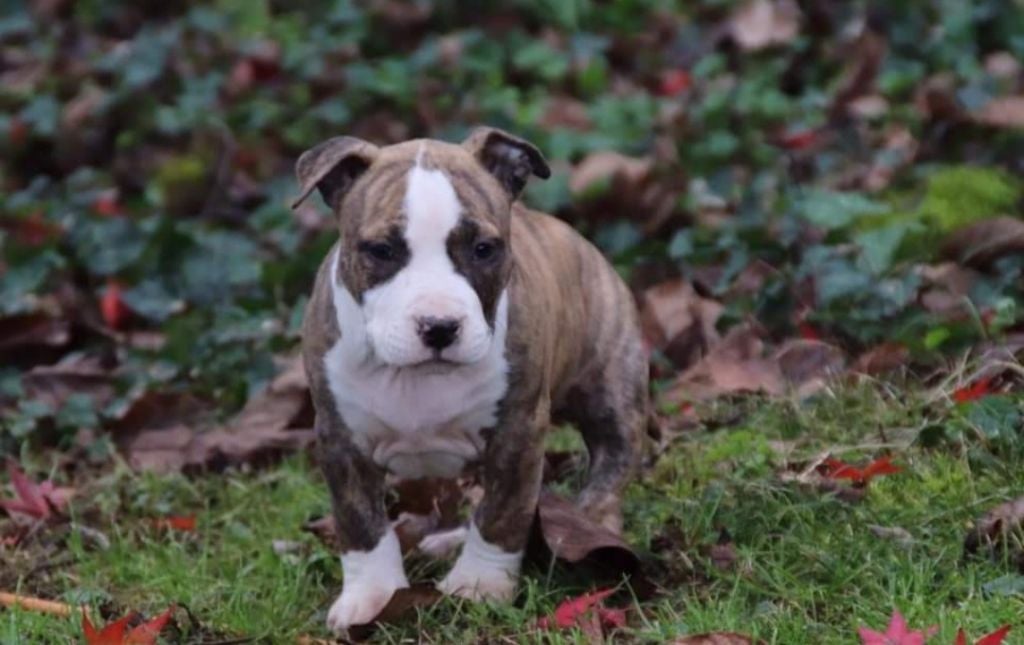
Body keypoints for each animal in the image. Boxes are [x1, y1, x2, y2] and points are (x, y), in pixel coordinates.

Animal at [296, 129, 647, 634]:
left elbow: (502, 514)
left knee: (607, 471)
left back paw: (591, 531)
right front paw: (371, 597)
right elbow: (361, 524)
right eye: (381, 251)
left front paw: (479, 585)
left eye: (484, 249)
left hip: (611, 397)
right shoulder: (339, 439)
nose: (440, 326)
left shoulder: (518, 431)